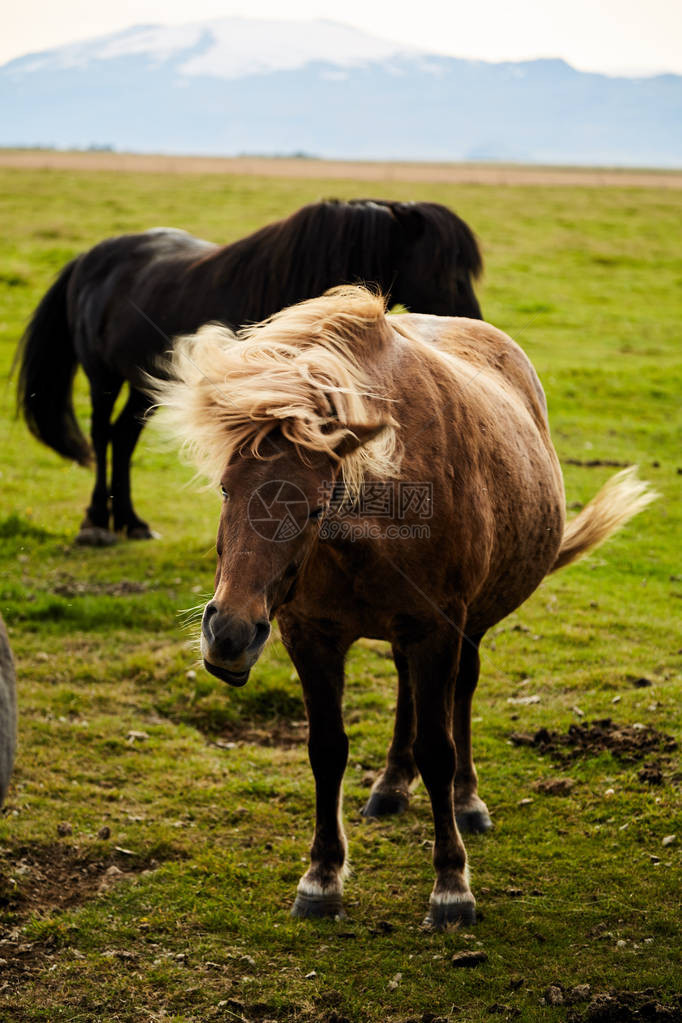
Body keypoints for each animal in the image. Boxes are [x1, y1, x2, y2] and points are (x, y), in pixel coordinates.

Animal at [17, 197, 484, 544]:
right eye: (446, 270)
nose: (476, 326)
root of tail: (89, 258)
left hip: (143, 385)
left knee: (122, 437)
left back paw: (132, 522)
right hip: (103, 379)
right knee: (100, 435)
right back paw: (97, 523)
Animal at [154, 286, 654, 928]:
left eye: (316, 506)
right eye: (224, 488)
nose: (230, 636)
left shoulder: (437, 630)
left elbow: (437, 749)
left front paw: (452, 886)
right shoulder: (309, 635)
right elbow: (327, 749)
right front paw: (321, 878)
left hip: (467, 628)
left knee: (459, 697)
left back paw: (467, 802)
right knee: (405, 691)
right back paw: (391, 787)